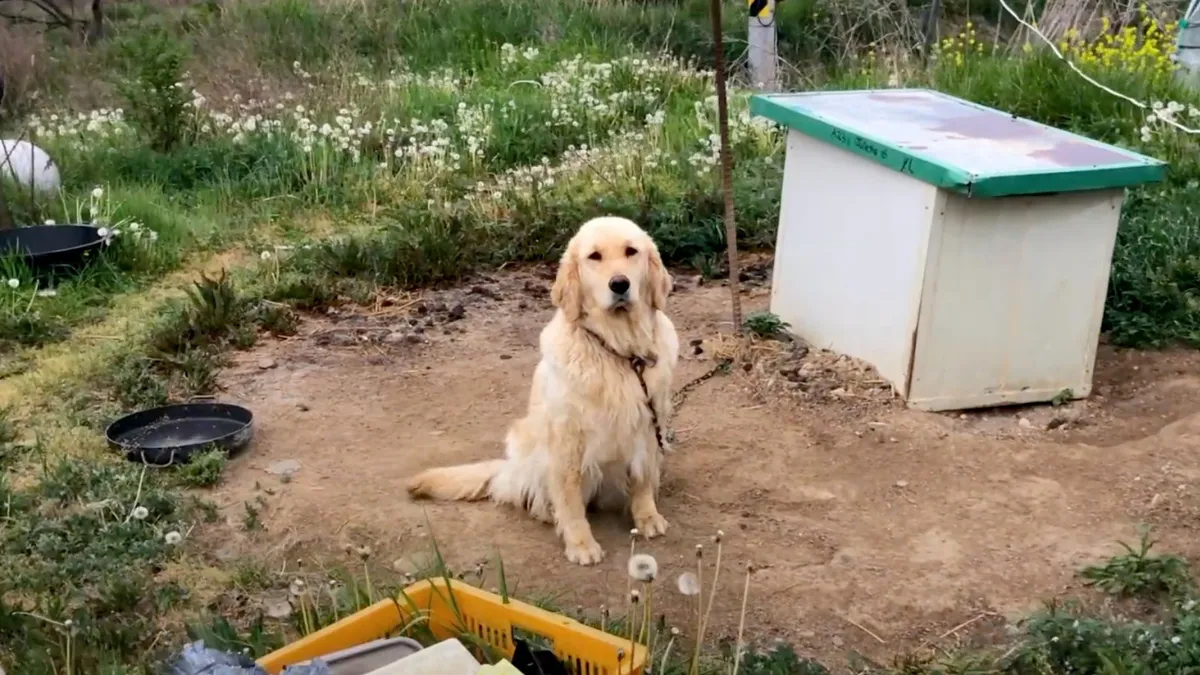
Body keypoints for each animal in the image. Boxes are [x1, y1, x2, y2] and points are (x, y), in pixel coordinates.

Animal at [408, 214, 681, 562]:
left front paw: (647, 517)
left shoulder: (648, 424)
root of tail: (510, 469)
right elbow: (569, 499)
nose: (620, 284)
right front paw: (580, 544)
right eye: (594, 257)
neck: (619, 350)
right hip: (528, 446)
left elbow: (643, 478)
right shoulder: (566, 440)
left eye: (631, 251)